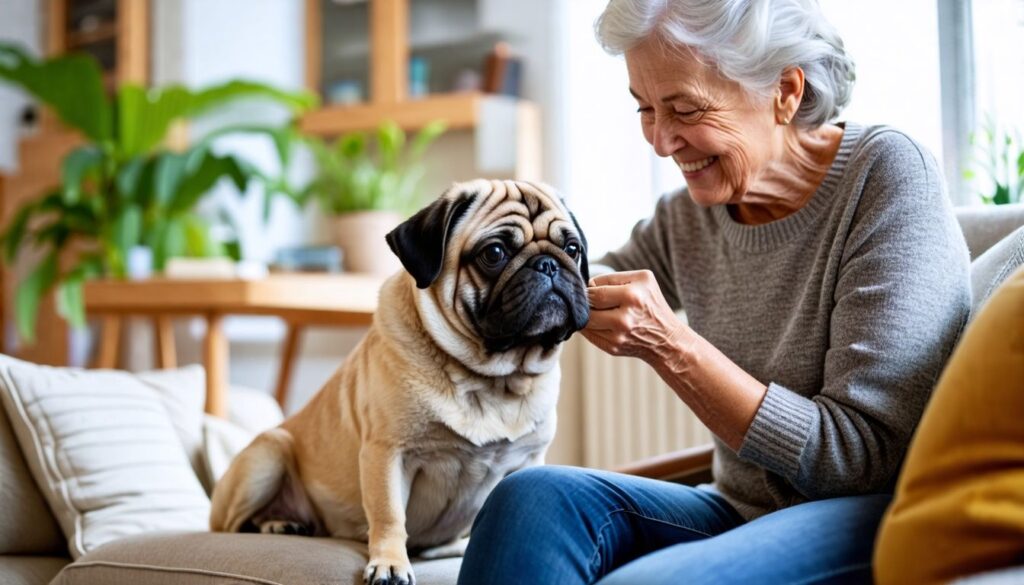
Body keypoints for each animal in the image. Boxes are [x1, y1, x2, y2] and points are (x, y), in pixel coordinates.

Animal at [207, 178, 589, 585]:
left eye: (572, 249)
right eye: (494, 253)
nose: (549, 263)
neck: (489, 378)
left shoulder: (527, 461)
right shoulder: (387, 453)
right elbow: (389, 515)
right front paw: (390, 564)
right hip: (269, 452)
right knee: (232, 526)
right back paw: (278, 524)